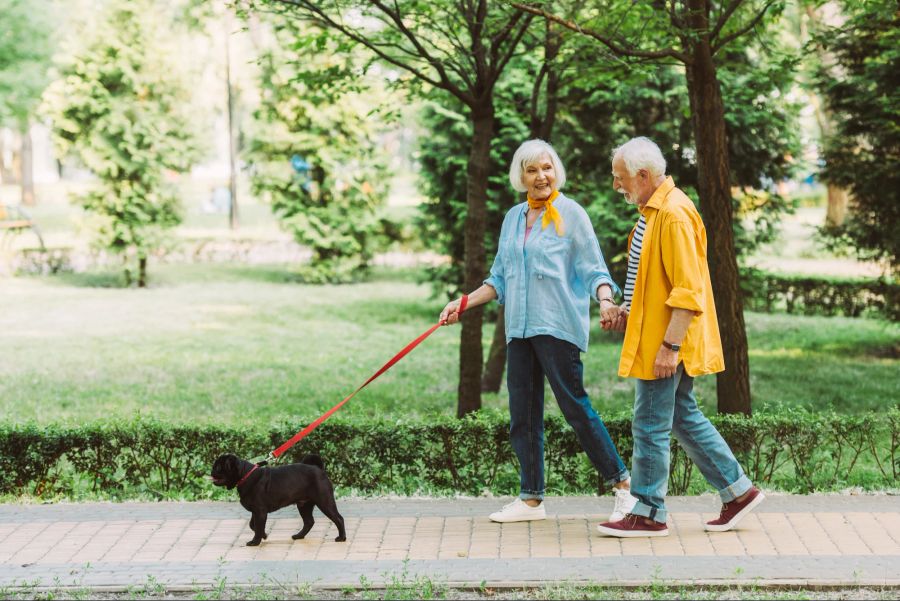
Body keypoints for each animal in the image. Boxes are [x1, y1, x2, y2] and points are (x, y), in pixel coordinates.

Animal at [211, 452, 348, 548]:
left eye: (218, 467)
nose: (211, 471)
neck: (245, 475)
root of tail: (319, 469)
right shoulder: (256, 511)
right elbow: (253, 525)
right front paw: (264, 535)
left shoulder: (260, 511)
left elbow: (257, 526)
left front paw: (255, 541)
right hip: (304, 505)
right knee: (309, 521)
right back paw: (299, 536)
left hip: (325, 502)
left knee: (338, 518)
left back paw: (341, 538)